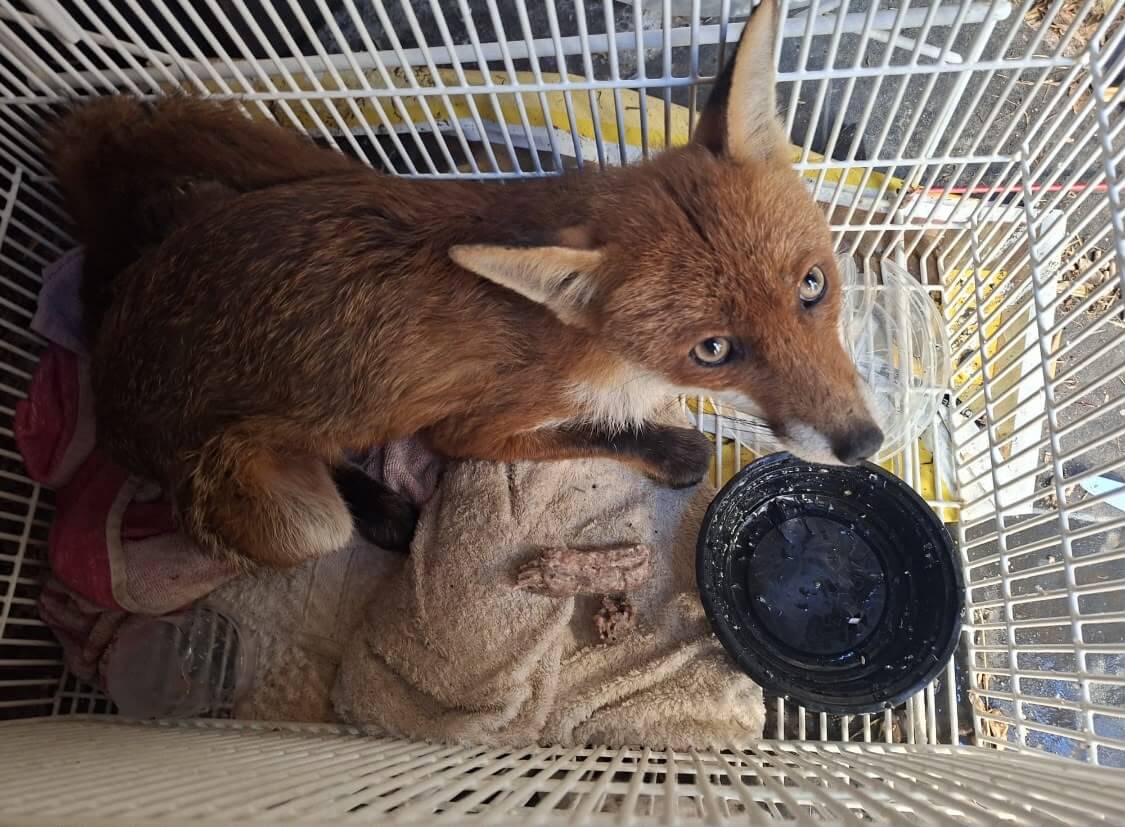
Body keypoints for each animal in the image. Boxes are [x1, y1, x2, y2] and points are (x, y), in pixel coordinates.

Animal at [46, 0, 881, 571]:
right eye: (713, 349)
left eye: (813, 286)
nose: (864, 443)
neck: (603, 353)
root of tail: (110, 342)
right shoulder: (473, 428)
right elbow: (606, 436)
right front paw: (663, 445)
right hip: (296, 516)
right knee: (319, 504)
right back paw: (378, 509)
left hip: (270, 167)